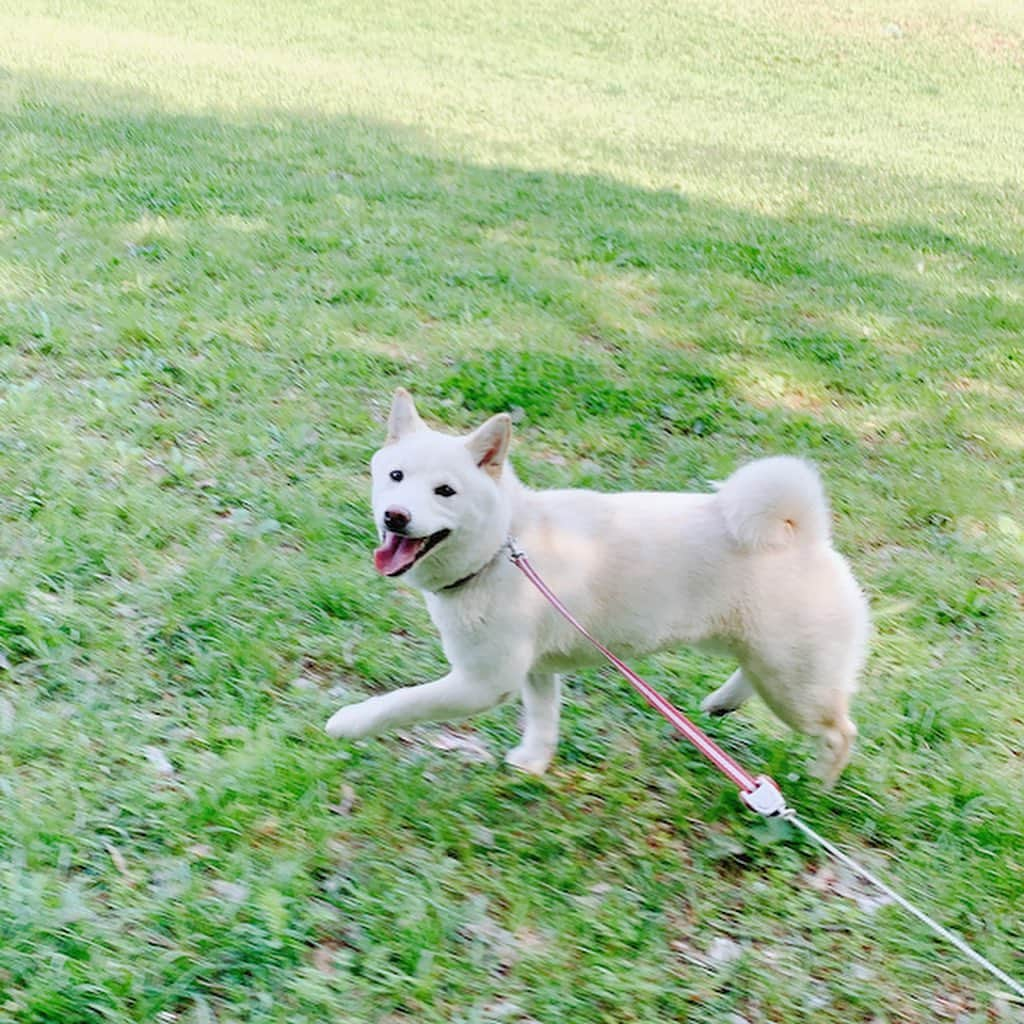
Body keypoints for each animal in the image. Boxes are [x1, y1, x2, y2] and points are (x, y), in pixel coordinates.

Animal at [323, 389, 868, 782]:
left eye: (445, 491)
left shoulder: (482, 682)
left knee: (840, 731)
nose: (396, 516)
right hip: (759, 656)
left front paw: (349, 722)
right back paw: (724, 702)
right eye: (396, 476)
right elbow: (544, 717)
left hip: (793, 683)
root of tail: (808, 536)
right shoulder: (535, 670)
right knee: (754, 677)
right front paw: (534, 762)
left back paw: (815, 782)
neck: (503, 547)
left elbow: (402, 701)